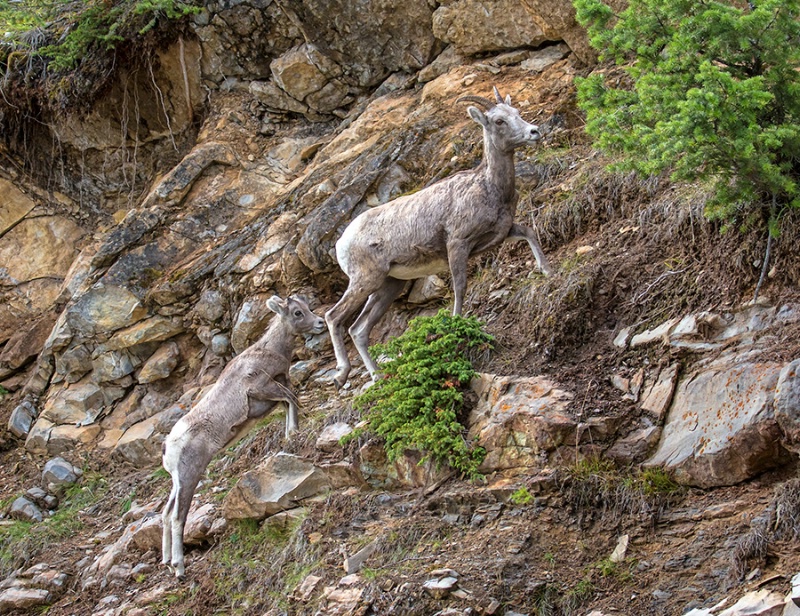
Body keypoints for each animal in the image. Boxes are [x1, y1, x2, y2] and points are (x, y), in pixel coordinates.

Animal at [161, 296, 324, 580]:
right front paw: (294, 432)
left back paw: (167, 562)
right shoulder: (263, 389)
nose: (320, 323)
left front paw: (290, 434)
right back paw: (179, 568)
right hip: (190, 476)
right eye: (297, 312)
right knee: (177, 517)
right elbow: (291, 399)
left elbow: (288, 404)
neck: (270, 351)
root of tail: (170, 447)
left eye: (307, 306)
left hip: (177, 482)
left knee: (165, 513)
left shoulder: (278, 386)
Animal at [324, 85, 552, 390]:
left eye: (516, 112)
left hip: (389, 285)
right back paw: (342, 373)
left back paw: (377, 376)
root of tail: (341, 243)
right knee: (334, 317)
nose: (534, 132)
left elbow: (529, 232)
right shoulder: (457, 244)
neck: (490, 187)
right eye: (499, 121)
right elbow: (460, 287)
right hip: (365, 280)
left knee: (358, 329)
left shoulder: (501, 232)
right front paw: (457, 324)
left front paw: (547, 271)